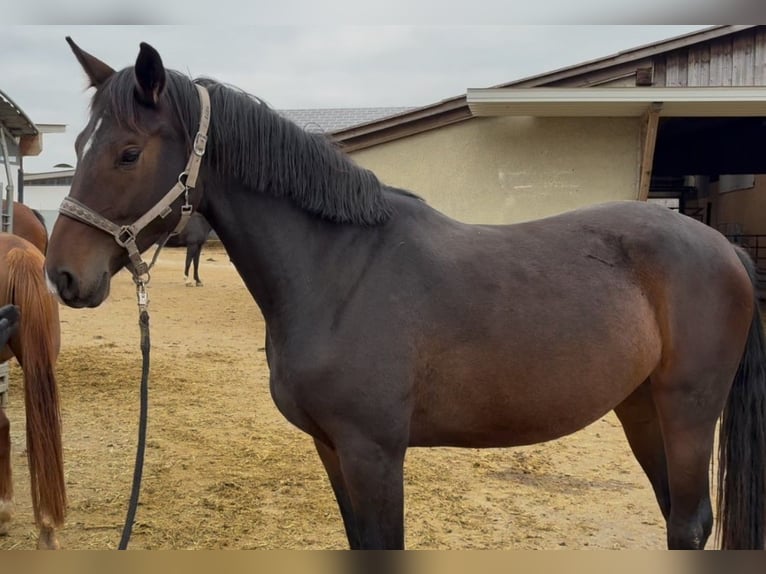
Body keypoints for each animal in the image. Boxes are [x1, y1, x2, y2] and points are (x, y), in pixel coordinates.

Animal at [45, 38, 766, 550]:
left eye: (128, 152)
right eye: (77, 143)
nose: (63, 276)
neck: (338, 272)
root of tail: (723, 247)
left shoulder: (375, 452)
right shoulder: (333, 448)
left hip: (688, 411)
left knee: (689, 523)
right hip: (641, 409)